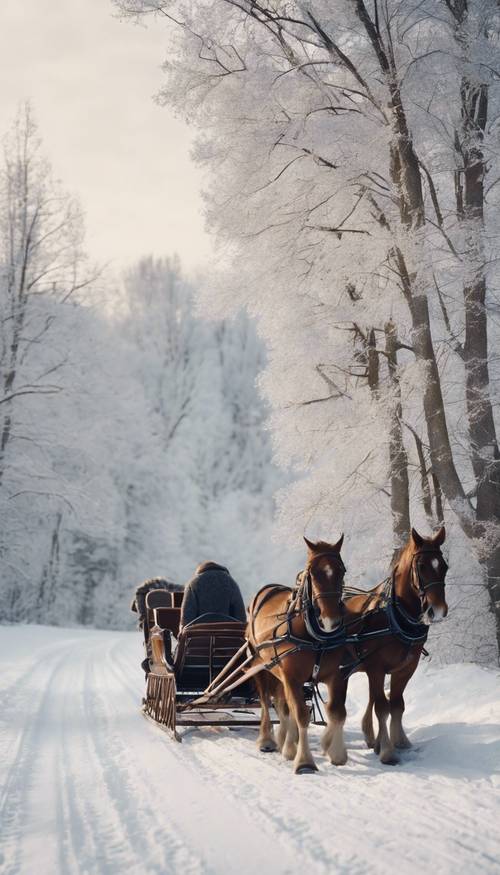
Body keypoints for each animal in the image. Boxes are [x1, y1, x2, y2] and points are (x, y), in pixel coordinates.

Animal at [249, 532, 348, 772]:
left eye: (341, 571)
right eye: (313, 572)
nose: (331, 621)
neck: (315, 636)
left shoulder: (336, 675)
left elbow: (337, 712)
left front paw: (336, 753)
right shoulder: (292, 676)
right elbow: (302, 715)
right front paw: (304, 760)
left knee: (283, 705)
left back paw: (287, 741)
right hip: (261, 667)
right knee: (266, 702)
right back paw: (267, 740)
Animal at [344, 528, 450, 768]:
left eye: (444, 566)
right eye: (421, 566)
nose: (438, 610)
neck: (395, 617)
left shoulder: (405, 668)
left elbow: (397, 704)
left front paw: (399, 741)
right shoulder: (376, 668)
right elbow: (383, 707)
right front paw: (387, 751)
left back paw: (370, 736)